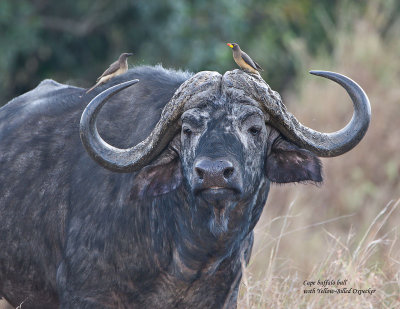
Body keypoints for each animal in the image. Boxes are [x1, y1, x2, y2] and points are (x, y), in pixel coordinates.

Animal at [0, 65, 370, 308]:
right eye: (188, 130)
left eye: (254, 128)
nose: (214, 174)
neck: (189, 252)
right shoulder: (86, 294)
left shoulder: (223, 295)